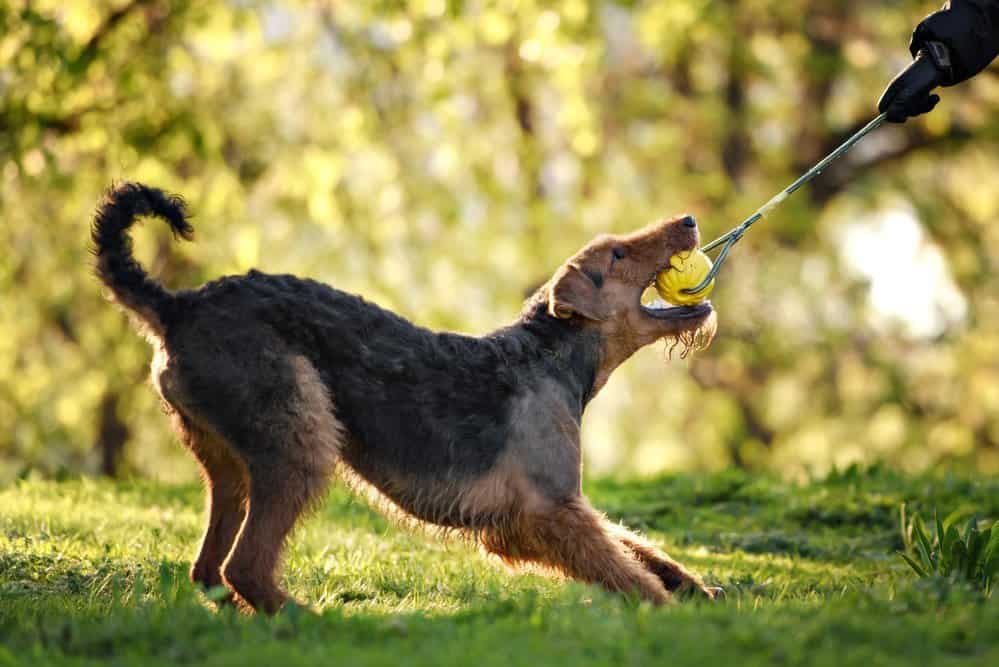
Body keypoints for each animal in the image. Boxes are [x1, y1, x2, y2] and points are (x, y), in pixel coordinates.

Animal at [92, 180, 720, 612]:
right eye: (616, 254)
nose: (690, 219)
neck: (552, 356)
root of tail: (179, 308)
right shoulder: (546, 510)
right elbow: (622, 567)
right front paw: (671, 612)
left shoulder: (547, 514)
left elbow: (634, 548)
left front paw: (696, 587)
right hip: (299, 438)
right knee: (243, 567)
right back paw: (314, 621)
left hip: (230, 463)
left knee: (208, 569)